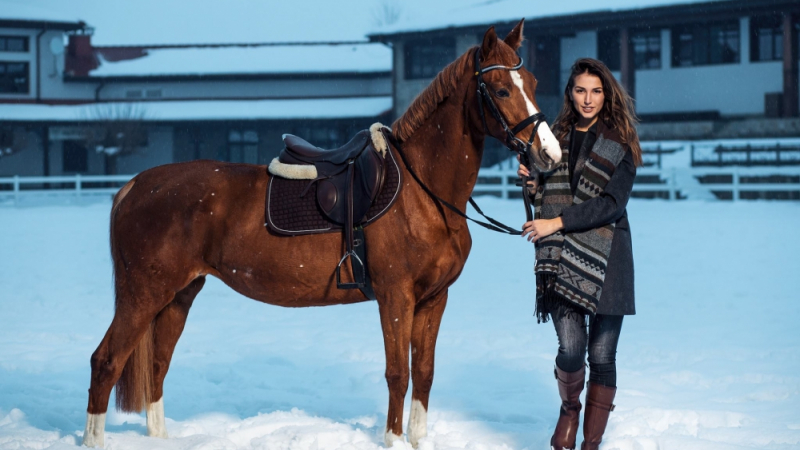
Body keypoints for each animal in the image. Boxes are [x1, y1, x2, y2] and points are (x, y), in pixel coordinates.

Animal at [79, 20, 556, 446]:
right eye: (500, 89)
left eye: (533, 81)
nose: (549, 154)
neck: (423, 192)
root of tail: (134, 185)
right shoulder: (395, 297)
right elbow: (398, 373)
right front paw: (394, 438)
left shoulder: (434, 299)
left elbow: (423, 373)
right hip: (144, 294)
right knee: (106, 361)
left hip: (178, 295)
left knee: (157, 365)